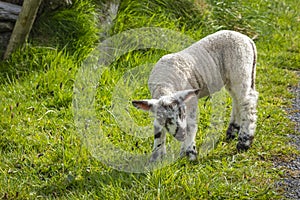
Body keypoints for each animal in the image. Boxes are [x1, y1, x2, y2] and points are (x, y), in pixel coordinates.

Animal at [132, 30, 258, 162]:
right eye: (165, 119)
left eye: (181, 114)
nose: (181, 135)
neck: (164, 85)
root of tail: (247, 39)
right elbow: (158, 130)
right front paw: (156, 157)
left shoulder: (190, 101)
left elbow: (190, 125)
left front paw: (189, 154)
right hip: (234, 78)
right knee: (237, 101)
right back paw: (232, 131)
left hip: (240, 70)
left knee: (248, 102)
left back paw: (244, 142)